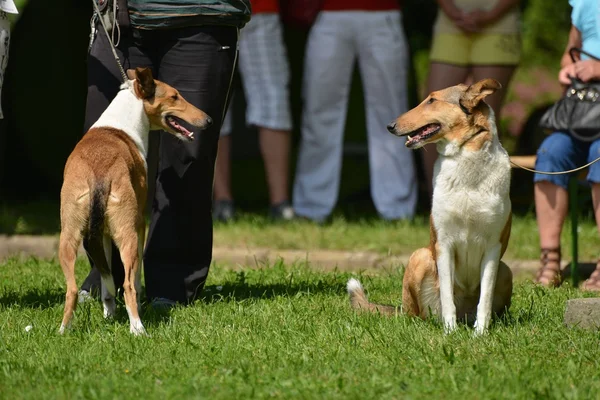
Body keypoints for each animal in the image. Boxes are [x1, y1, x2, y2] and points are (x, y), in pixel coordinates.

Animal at [56, 68, 211, 334]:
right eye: (175, 96)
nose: (208, 120)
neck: (121, 122)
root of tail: (99, 174)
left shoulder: (102, 233)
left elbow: (107, 282)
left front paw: (109, 314)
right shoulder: (139, 226)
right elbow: (136, 281)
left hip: (69, 234)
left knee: (72, 289)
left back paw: (63, 330)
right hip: (127, 233)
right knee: (128, 285)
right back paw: (138, 329)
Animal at [350, 78, 512, 334]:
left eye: (432, 100)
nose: (390, 126)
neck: (465, 160)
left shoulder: (493, 246)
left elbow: (485, 298)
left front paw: (481, 334)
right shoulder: (444, 244)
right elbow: (446, 295)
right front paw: (450, 332)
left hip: (506, 270)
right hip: (420, 257)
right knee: (419, 314)